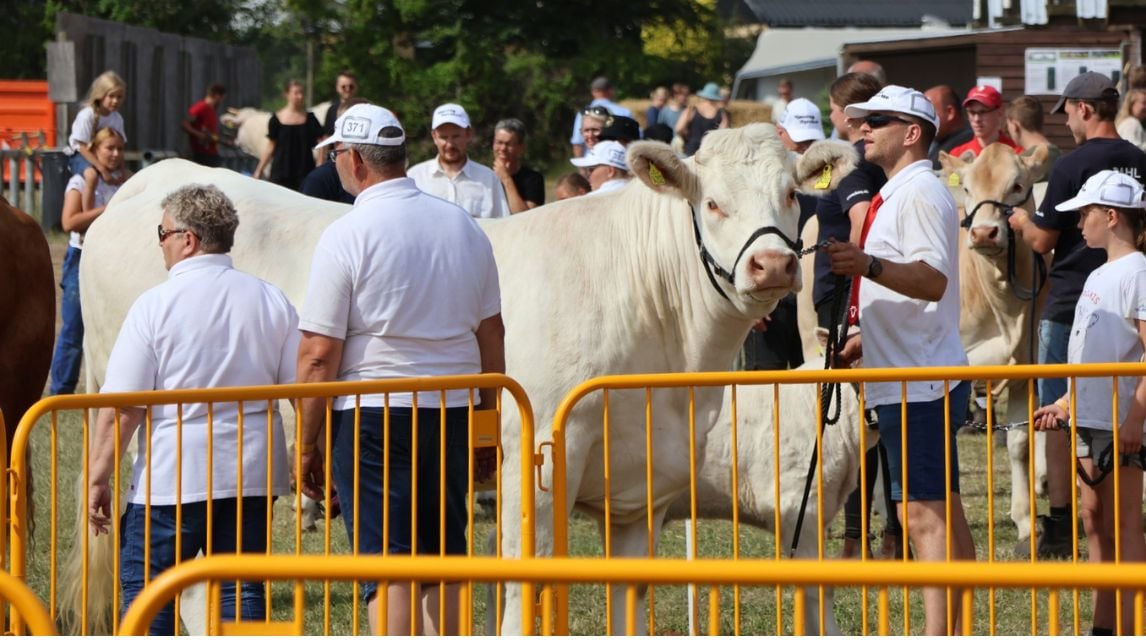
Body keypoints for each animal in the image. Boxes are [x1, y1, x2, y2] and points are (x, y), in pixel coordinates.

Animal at [60, 124, 852, 632]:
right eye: (712, 203)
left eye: (791, 196)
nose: (774, 265)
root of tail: (152, 180)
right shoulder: (533, 465)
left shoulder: (641, 490)